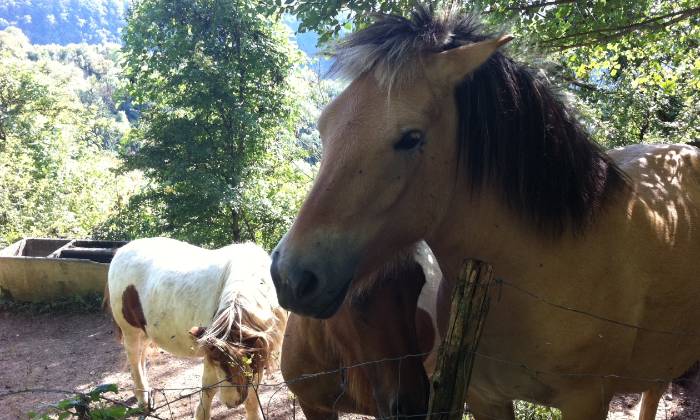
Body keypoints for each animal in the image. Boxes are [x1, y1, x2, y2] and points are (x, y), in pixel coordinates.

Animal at [106, 237, 286, 420]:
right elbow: (209, 389)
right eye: (218, 362)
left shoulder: (261, 351)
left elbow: (252, 395)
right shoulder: (210, 348)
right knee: (134, 358)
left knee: (141, 355)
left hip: (145, 331)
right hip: (130, 330)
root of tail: (121, 251)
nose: (230, 403)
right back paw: (143, 397)